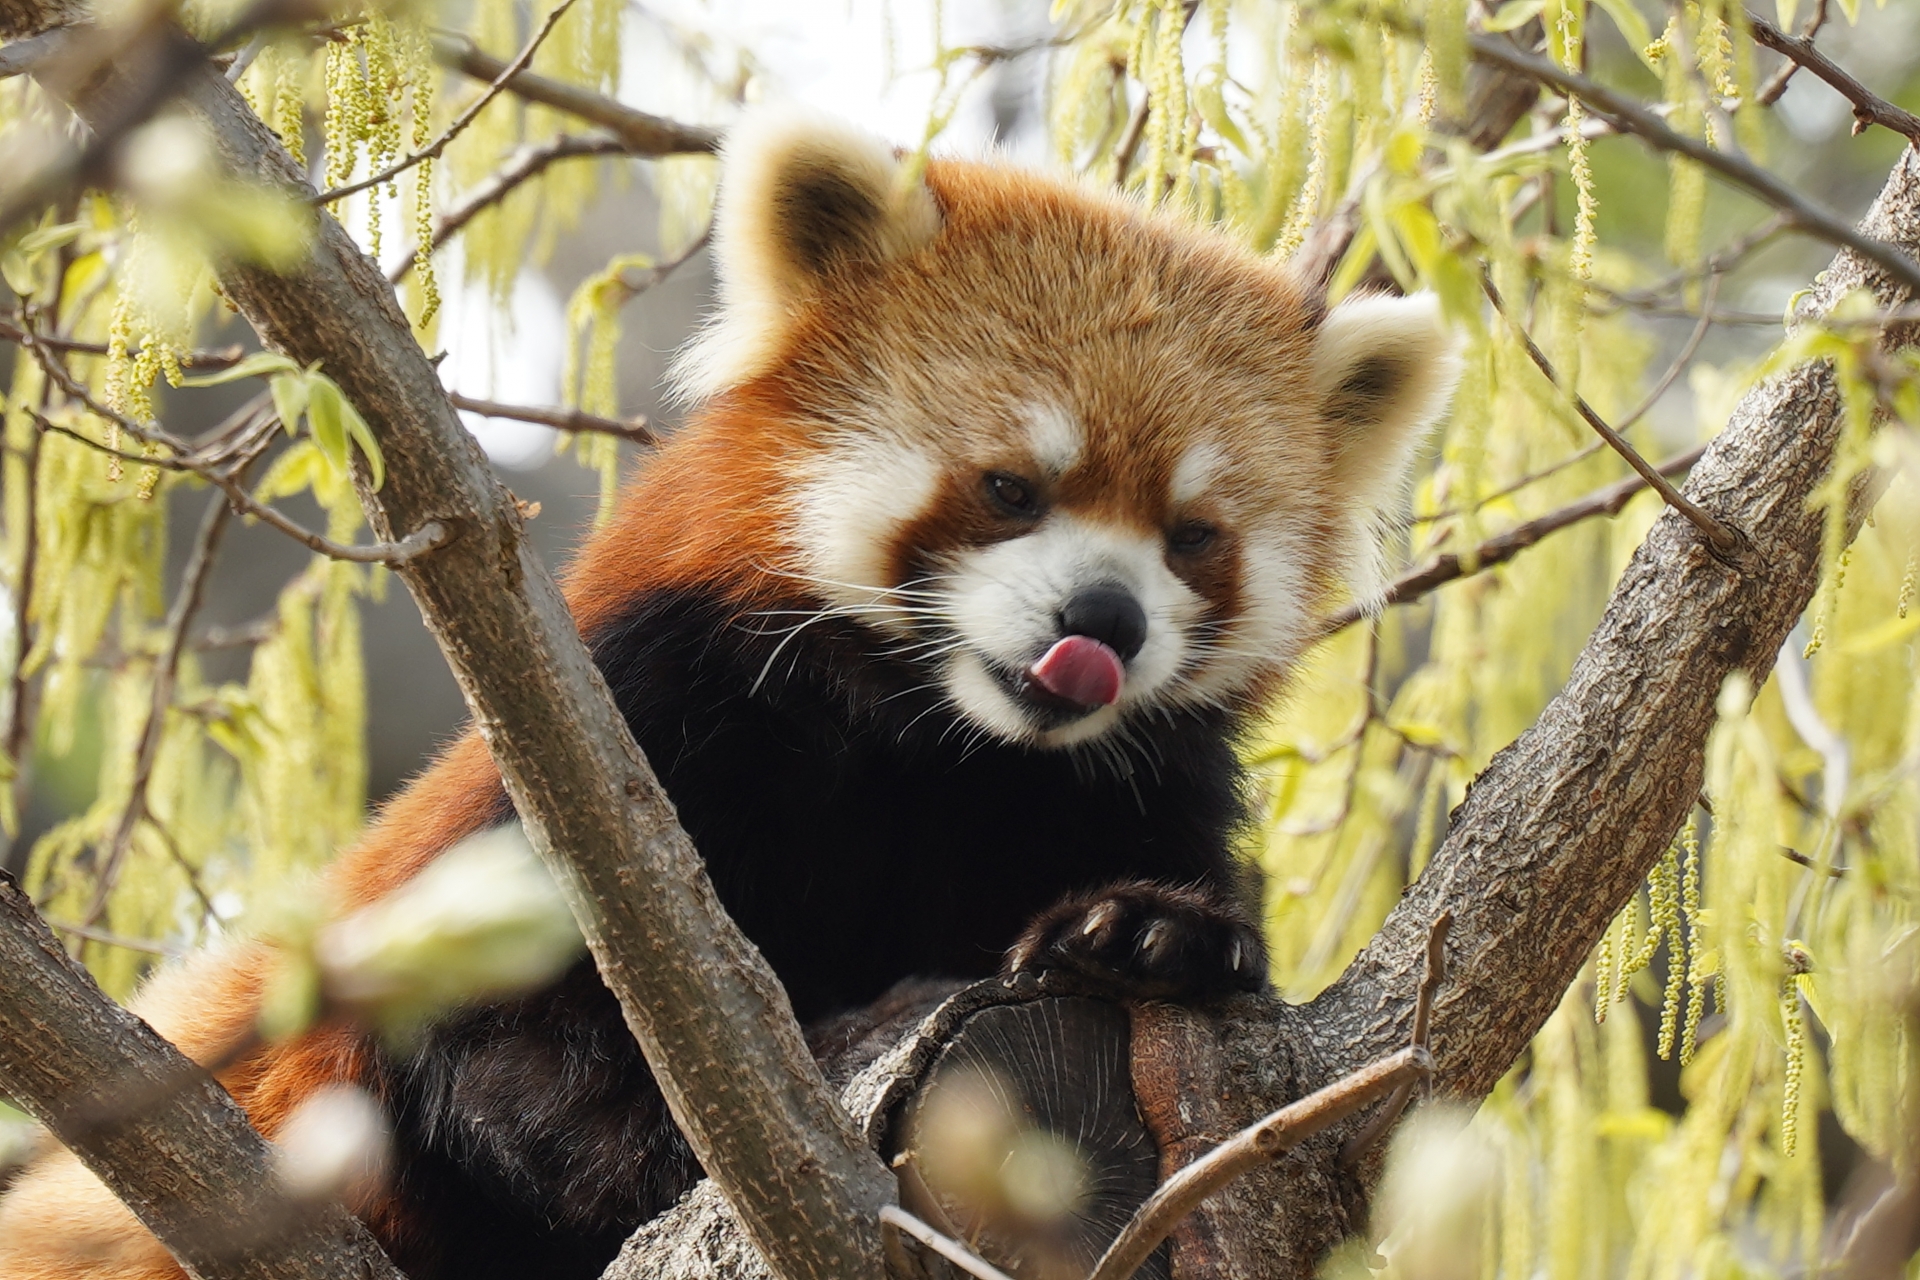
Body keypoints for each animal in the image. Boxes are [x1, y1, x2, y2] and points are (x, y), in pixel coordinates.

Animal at [0, 110, 1451, 1280]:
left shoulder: (1124, 783)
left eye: (1192, 536)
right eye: (1009, 488)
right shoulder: (626, 732)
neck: (940, 744)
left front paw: (1150, 934)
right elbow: (506, 1057)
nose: (1104, 621)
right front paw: (792, 1073)